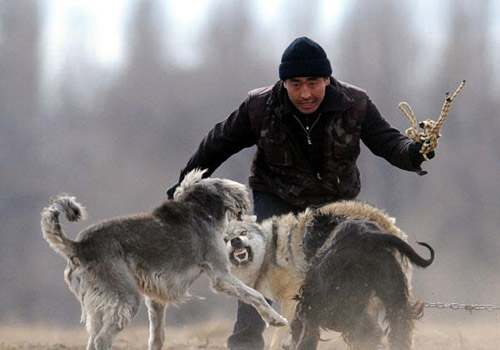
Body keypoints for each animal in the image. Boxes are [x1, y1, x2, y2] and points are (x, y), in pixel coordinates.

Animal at [40, 168, 286, 348]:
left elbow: (157, 337)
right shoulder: (221, 275)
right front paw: (276, 319)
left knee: (93, 339)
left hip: (98, 307)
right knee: (102, 340)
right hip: (125, 297)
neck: (199, 209)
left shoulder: (156, 297)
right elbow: (255, 295)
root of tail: (79, 245)